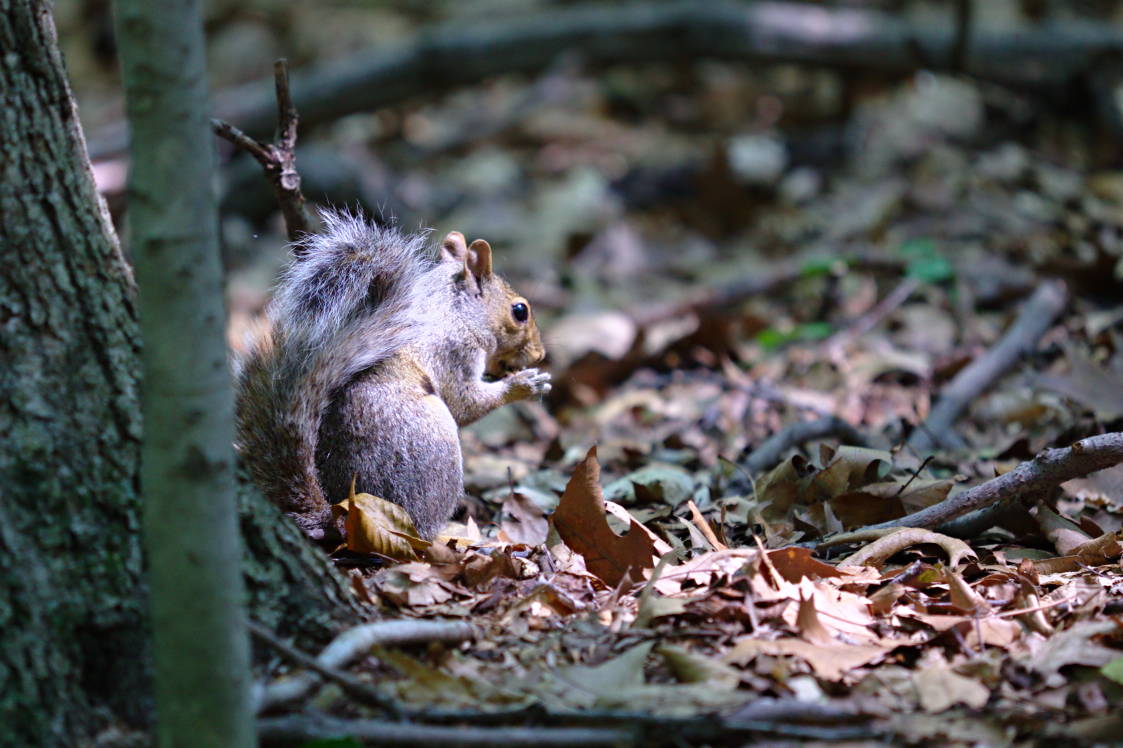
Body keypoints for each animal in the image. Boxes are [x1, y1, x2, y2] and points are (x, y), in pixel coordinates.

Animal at [238, 210, 552, 536]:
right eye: (520, 311)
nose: (540, 354)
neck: (455, 309)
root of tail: (342, 516)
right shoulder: (455, 352)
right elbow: (465, 403)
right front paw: (525, 384)